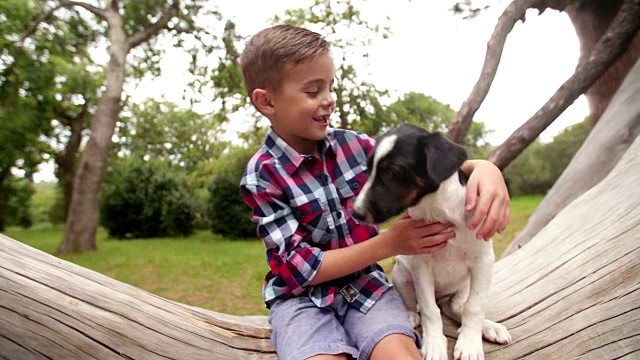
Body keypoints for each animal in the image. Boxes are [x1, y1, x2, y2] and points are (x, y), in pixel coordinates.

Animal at [350, 124, 510, 360]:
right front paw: (434, 344)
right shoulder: (421, 265)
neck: (438, 211)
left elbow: (474, 306)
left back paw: (489, 327)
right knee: (419, 305)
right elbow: (429, 310)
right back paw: (411, 316)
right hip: (402, 275)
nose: (356, 213)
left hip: (463, 286)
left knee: (457, 307)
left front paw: (470, 343)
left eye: (393, 171)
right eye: (369, 168)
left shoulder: (484, 260)